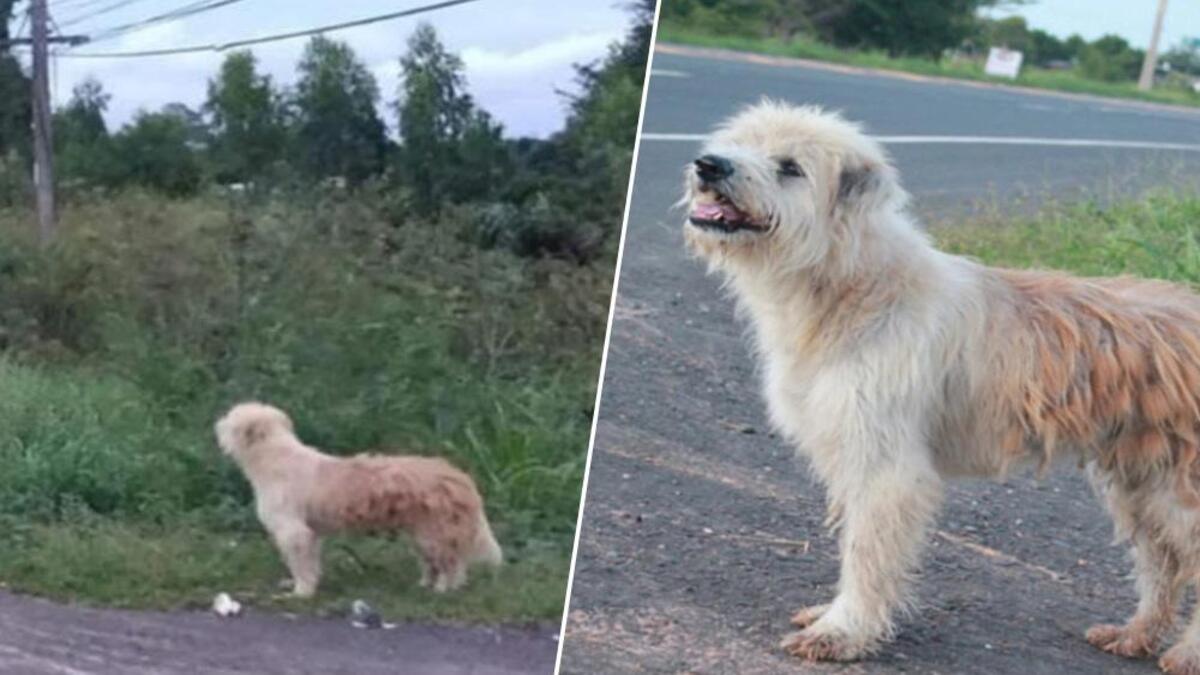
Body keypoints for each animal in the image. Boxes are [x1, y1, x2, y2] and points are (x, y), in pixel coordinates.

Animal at [216, 398, 501, 593]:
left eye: (230, 419)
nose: (216, 423)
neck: (276, 457)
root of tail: (459, 476)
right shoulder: (311, 533)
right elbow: (311, 561)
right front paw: (310, 584)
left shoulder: (293, 531)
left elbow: (300, 564)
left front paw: (302, 592)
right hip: (423, 534)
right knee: (438, 563)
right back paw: (424, 584)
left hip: (435, 533)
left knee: (452, 565)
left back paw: (442, 589)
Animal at [686, 100, 1200, 672]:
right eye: (739, 142)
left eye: (790, 167)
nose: (709, 165)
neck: (852, 285)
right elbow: (855, 542)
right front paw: (833, 615)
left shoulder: (887, 469)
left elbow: (866, 553)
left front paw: (843, 631)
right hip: (1140, 484)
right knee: (1163, 565)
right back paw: (1136, 634)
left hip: (1180, 492)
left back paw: (1187, 652)